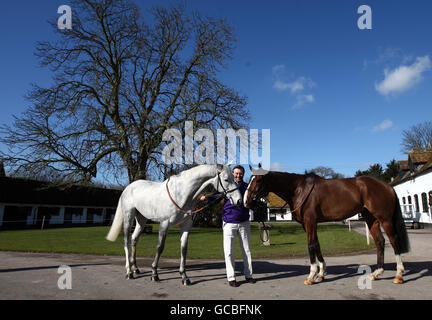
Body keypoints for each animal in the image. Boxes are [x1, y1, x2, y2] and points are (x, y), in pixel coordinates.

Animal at [245, 165, 410, 284]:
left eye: (258, 180)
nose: (246, 201)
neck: (299, 189)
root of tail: (387, 186)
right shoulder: (308, 224)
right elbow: (317, 245)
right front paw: (321, 274)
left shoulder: (310, 222)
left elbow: (311, 245)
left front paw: (311, 276)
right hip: (372, 220)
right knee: (380, 242)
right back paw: (377, 273)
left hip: (385, 219)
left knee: (394, 241)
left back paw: (399, 274)